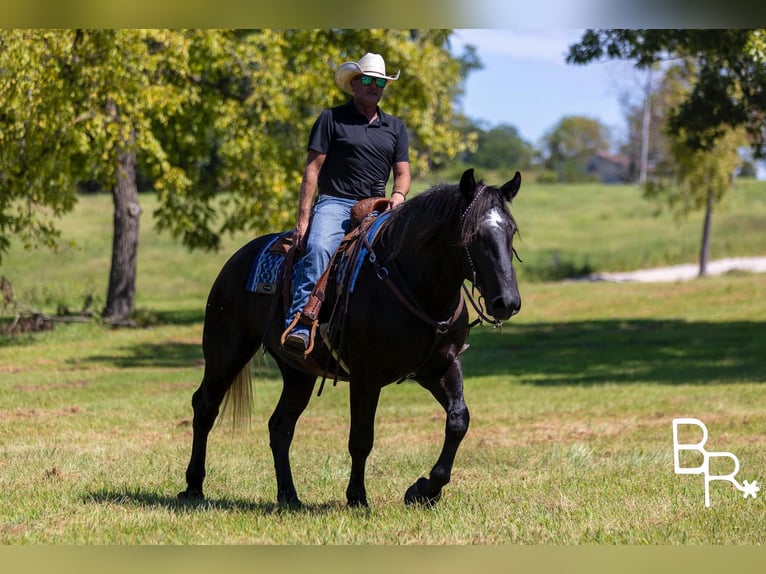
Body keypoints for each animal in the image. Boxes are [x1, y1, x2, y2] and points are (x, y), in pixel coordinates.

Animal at [178, 168, 522, 507]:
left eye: (511, 231)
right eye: (473, 235)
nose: (506, 302)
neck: (416, 284)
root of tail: (237, 260)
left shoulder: (439, 368)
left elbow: (458, 420)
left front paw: (424, 490)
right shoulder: (365, 376)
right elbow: (361, 437)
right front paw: (357, 497)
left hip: (298, 372)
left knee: (280, 426)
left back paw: (289, 496)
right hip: (226, 352)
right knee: (205, 407)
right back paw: (193, 486)